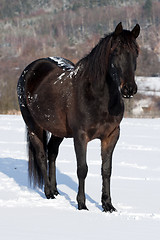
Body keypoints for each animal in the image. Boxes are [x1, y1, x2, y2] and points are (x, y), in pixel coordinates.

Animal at [17, 22, 140, 212]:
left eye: (136, 52)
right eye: (116, 51)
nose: (129, 89)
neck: (97, 96)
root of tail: (32, 68)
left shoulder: (111, 136)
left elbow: (106, 170)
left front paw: (107, 205)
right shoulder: (80, 136)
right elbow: (82, 169)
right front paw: (82, 205)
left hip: (58, 130)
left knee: (52, 152)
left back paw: (55, 190)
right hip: (33, 126)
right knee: (42, 155)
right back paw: (48, 192)